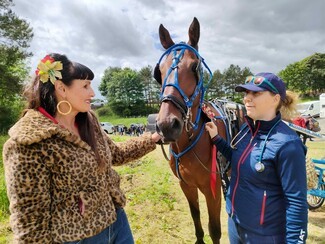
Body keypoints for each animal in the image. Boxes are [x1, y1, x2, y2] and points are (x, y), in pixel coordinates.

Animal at [153, 17, 229, 244]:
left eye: (195, 67)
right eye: (159, 73)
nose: (167, 124)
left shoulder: (213, 190)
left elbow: (215, 229)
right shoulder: (186, 185)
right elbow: (196, 216)